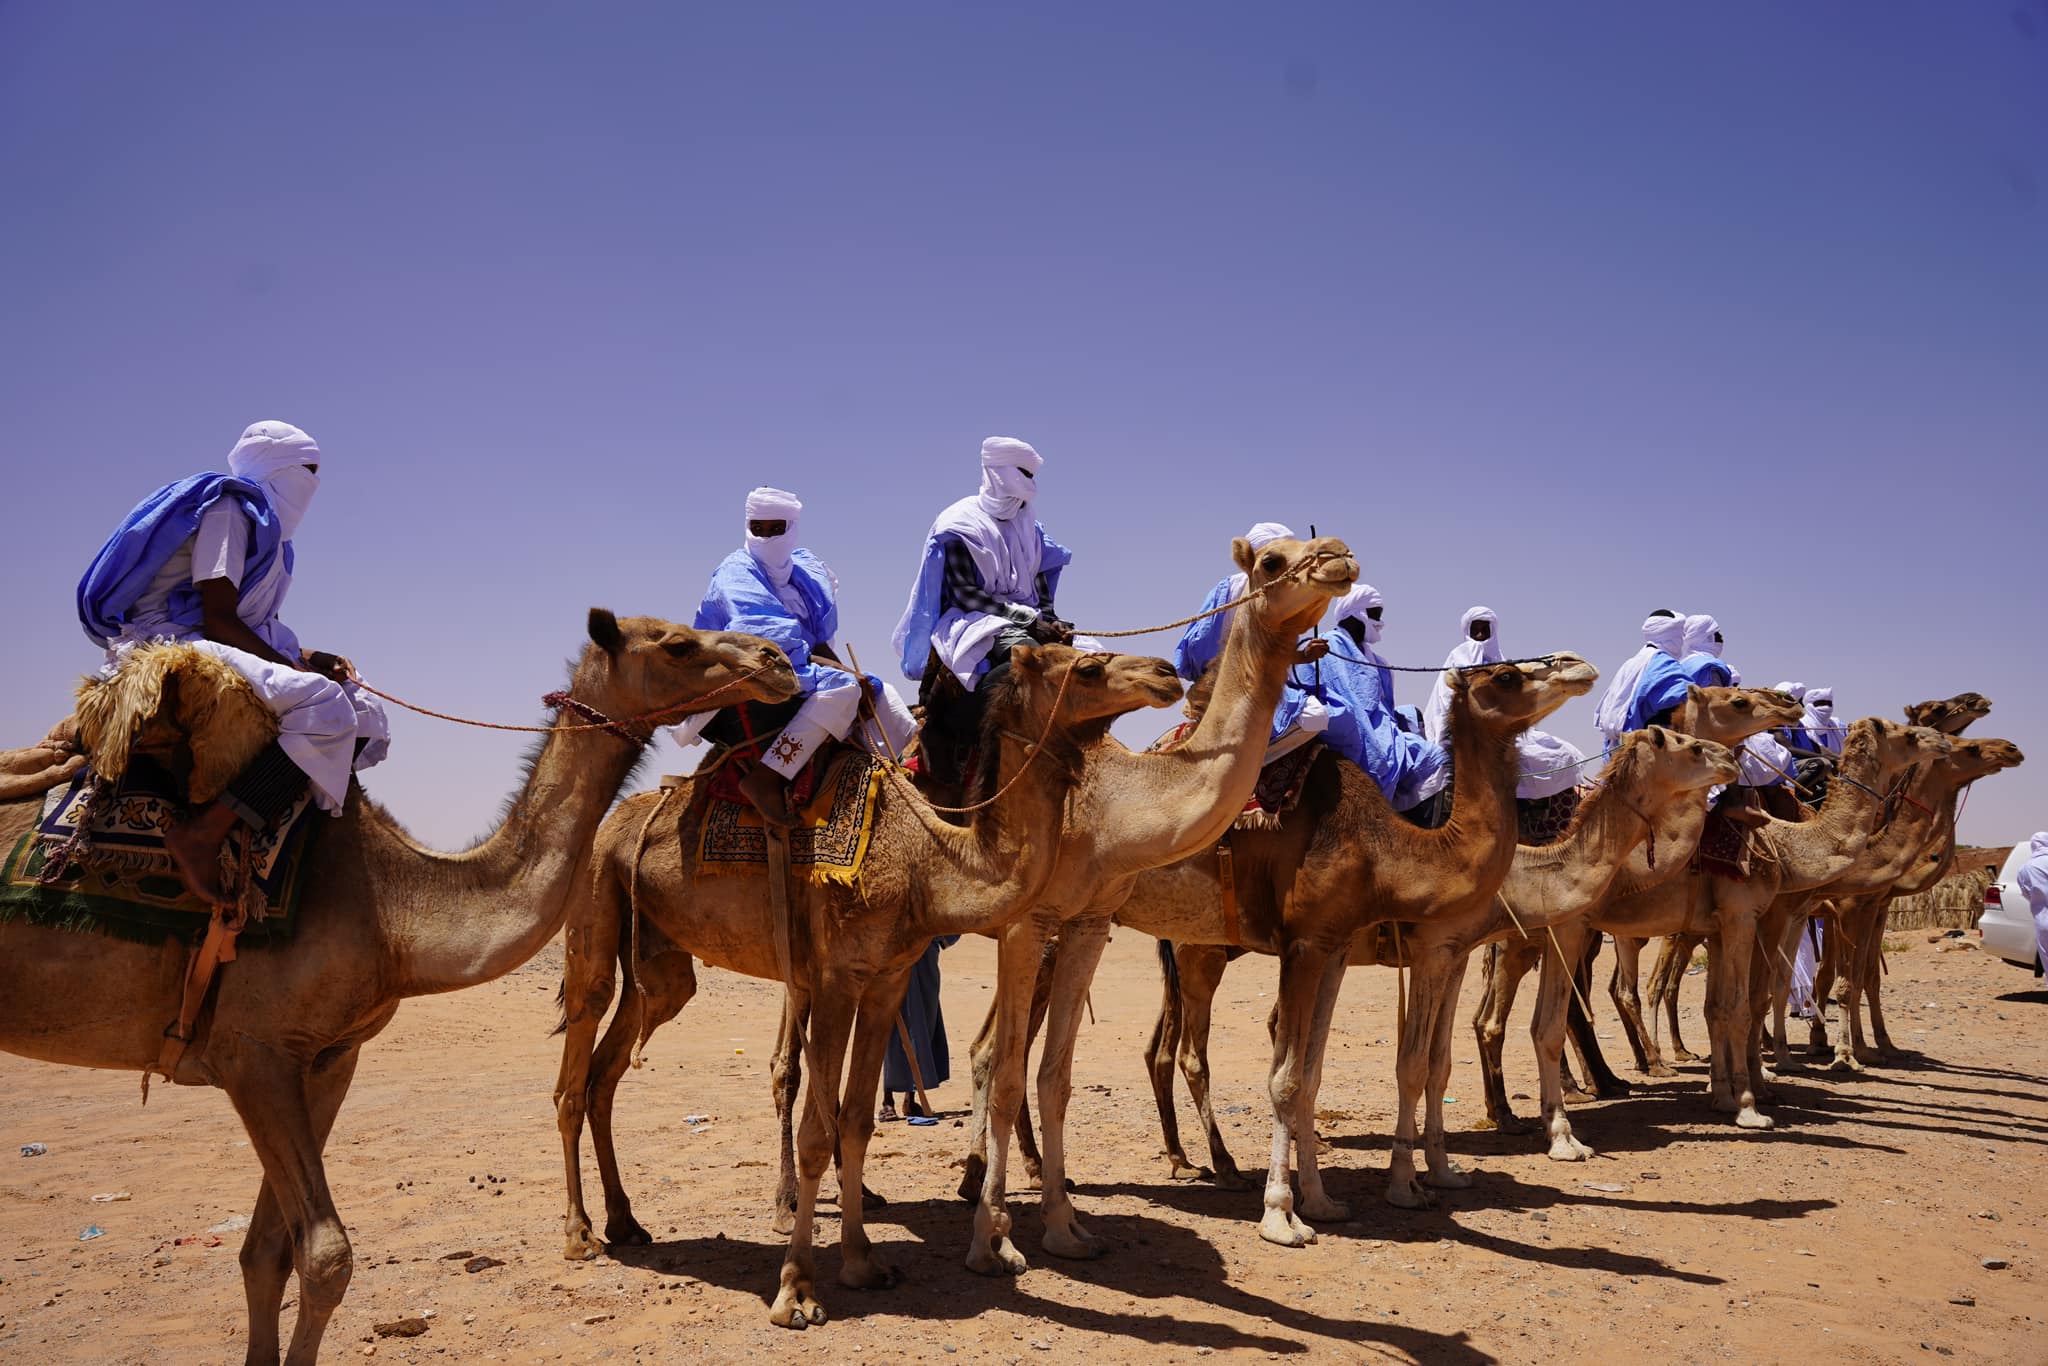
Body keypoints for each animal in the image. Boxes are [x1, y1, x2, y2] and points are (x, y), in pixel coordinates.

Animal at [0, 614, 798, 1366]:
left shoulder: (326, 1057)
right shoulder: (251, 1053)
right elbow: (326, 1258)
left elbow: (269, 1253)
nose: (779, 661)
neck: (391, 910)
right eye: (676, 644)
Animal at [552, 532, 1351, 1327]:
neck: (1122, 811)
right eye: (1275, 562)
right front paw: (982, 1242)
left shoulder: (1081, 924)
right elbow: (994, 1069)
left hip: (670, 964)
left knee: (621, 1067)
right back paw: (624, 1227)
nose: (1340, 557)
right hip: (614, 917)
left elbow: (1039, 1077)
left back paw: (639, 1218)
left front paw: (1053, 1225)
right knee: (661, 1064)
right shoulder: (1021, 927)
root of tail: (631, 815)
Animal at [1146, 733, 1736, 1212]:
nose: (1731, 761)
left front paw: (1443, 1169)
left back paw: (1187, 1159)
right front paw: (1406, 1181)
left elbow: (1439, 1063)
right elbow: (1414, 1064)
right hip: (1202, 949)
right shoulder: (1438, 946)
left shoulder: (1459, 952)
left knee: (1172, 1047)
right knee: (1193, 1054)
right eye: (1689, 745)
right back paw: (1225, 1166)